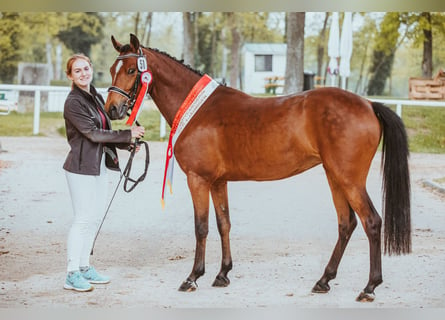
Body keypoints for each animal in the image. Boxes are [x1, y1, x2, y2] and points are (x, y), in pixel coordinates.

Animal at [104, 35, 410, 302]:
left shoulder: (198, 179)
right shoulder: (218, 182)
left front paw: (193, 277)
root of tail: (368, 104)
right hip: (334, 177)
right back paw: (324, 280)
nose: (112, 110)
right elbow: (224, 223)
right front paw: (223, 274)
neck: (197, 110)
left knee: (372, 222)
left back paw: (369, 287)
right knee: (346, 223)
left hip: (349, 179)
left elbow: (201, 227)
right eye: (111, 69)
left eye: (131, 70)